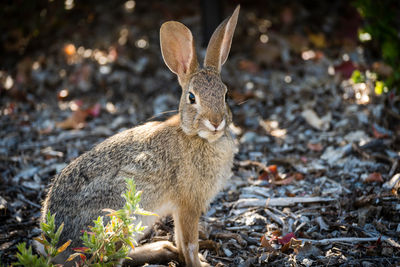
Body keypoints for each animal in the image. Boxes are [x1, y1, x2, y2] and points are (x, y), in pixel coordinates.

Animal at [36, 4, 239, 267]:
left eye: (226, 94)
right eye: (192, 97)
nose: (215, 122)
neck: (199, 137)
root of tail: (54, 242)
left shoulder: (180, 208)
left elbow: (181, 240)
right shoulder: (188, 204)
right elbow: (189, 243)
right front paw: (199, 264)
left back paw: (162, 249)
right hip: (122, 214)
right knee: (108, 256)